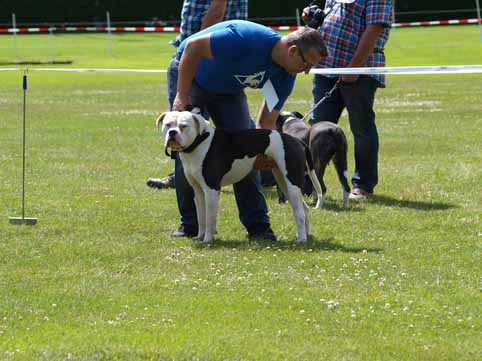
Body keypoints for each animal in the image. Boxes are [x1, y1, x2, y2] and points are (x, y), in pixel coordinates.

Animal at [158, 108, 324, 243]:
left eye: (184, 126)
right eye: (168, 125)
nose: (172, 133)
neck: (200, 142)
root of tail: (296, 140)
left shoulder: (211, 191)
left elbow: (210, 217)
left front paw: (207, 240)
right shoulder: (199, 192)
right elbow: (201, 217)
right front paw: (199, 237)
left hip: (291, 184)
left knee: (299, 213)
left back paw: (301, 239)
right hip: (284, 182)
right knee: (304, 209)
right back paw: (306, 235)